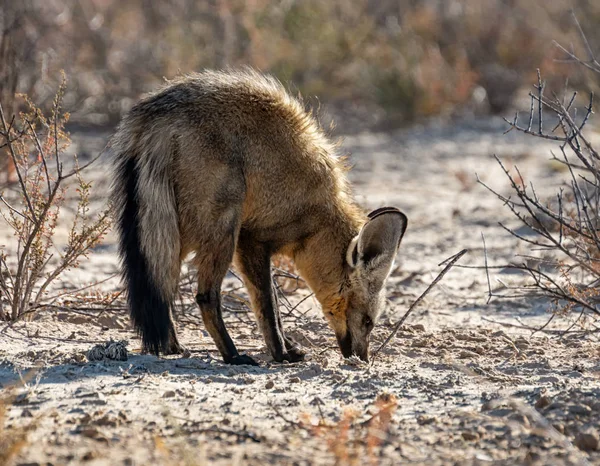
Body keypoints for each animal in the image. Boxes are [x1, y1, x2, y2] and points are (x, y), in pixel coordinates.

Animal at [110, 67, 406, 366]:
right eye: (368, 322)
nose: (362, 360)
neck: (319, 216)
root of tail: (156, 112)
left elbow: (271, 304)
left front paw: (289, 348)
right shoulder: (252, 240)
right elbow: (269, 307)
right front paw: (280, 354)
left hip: (169, 237)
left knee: (161, 290)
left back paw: (172, 347)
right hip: (220, 230)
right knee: (205, 296)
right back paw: (232, 356)